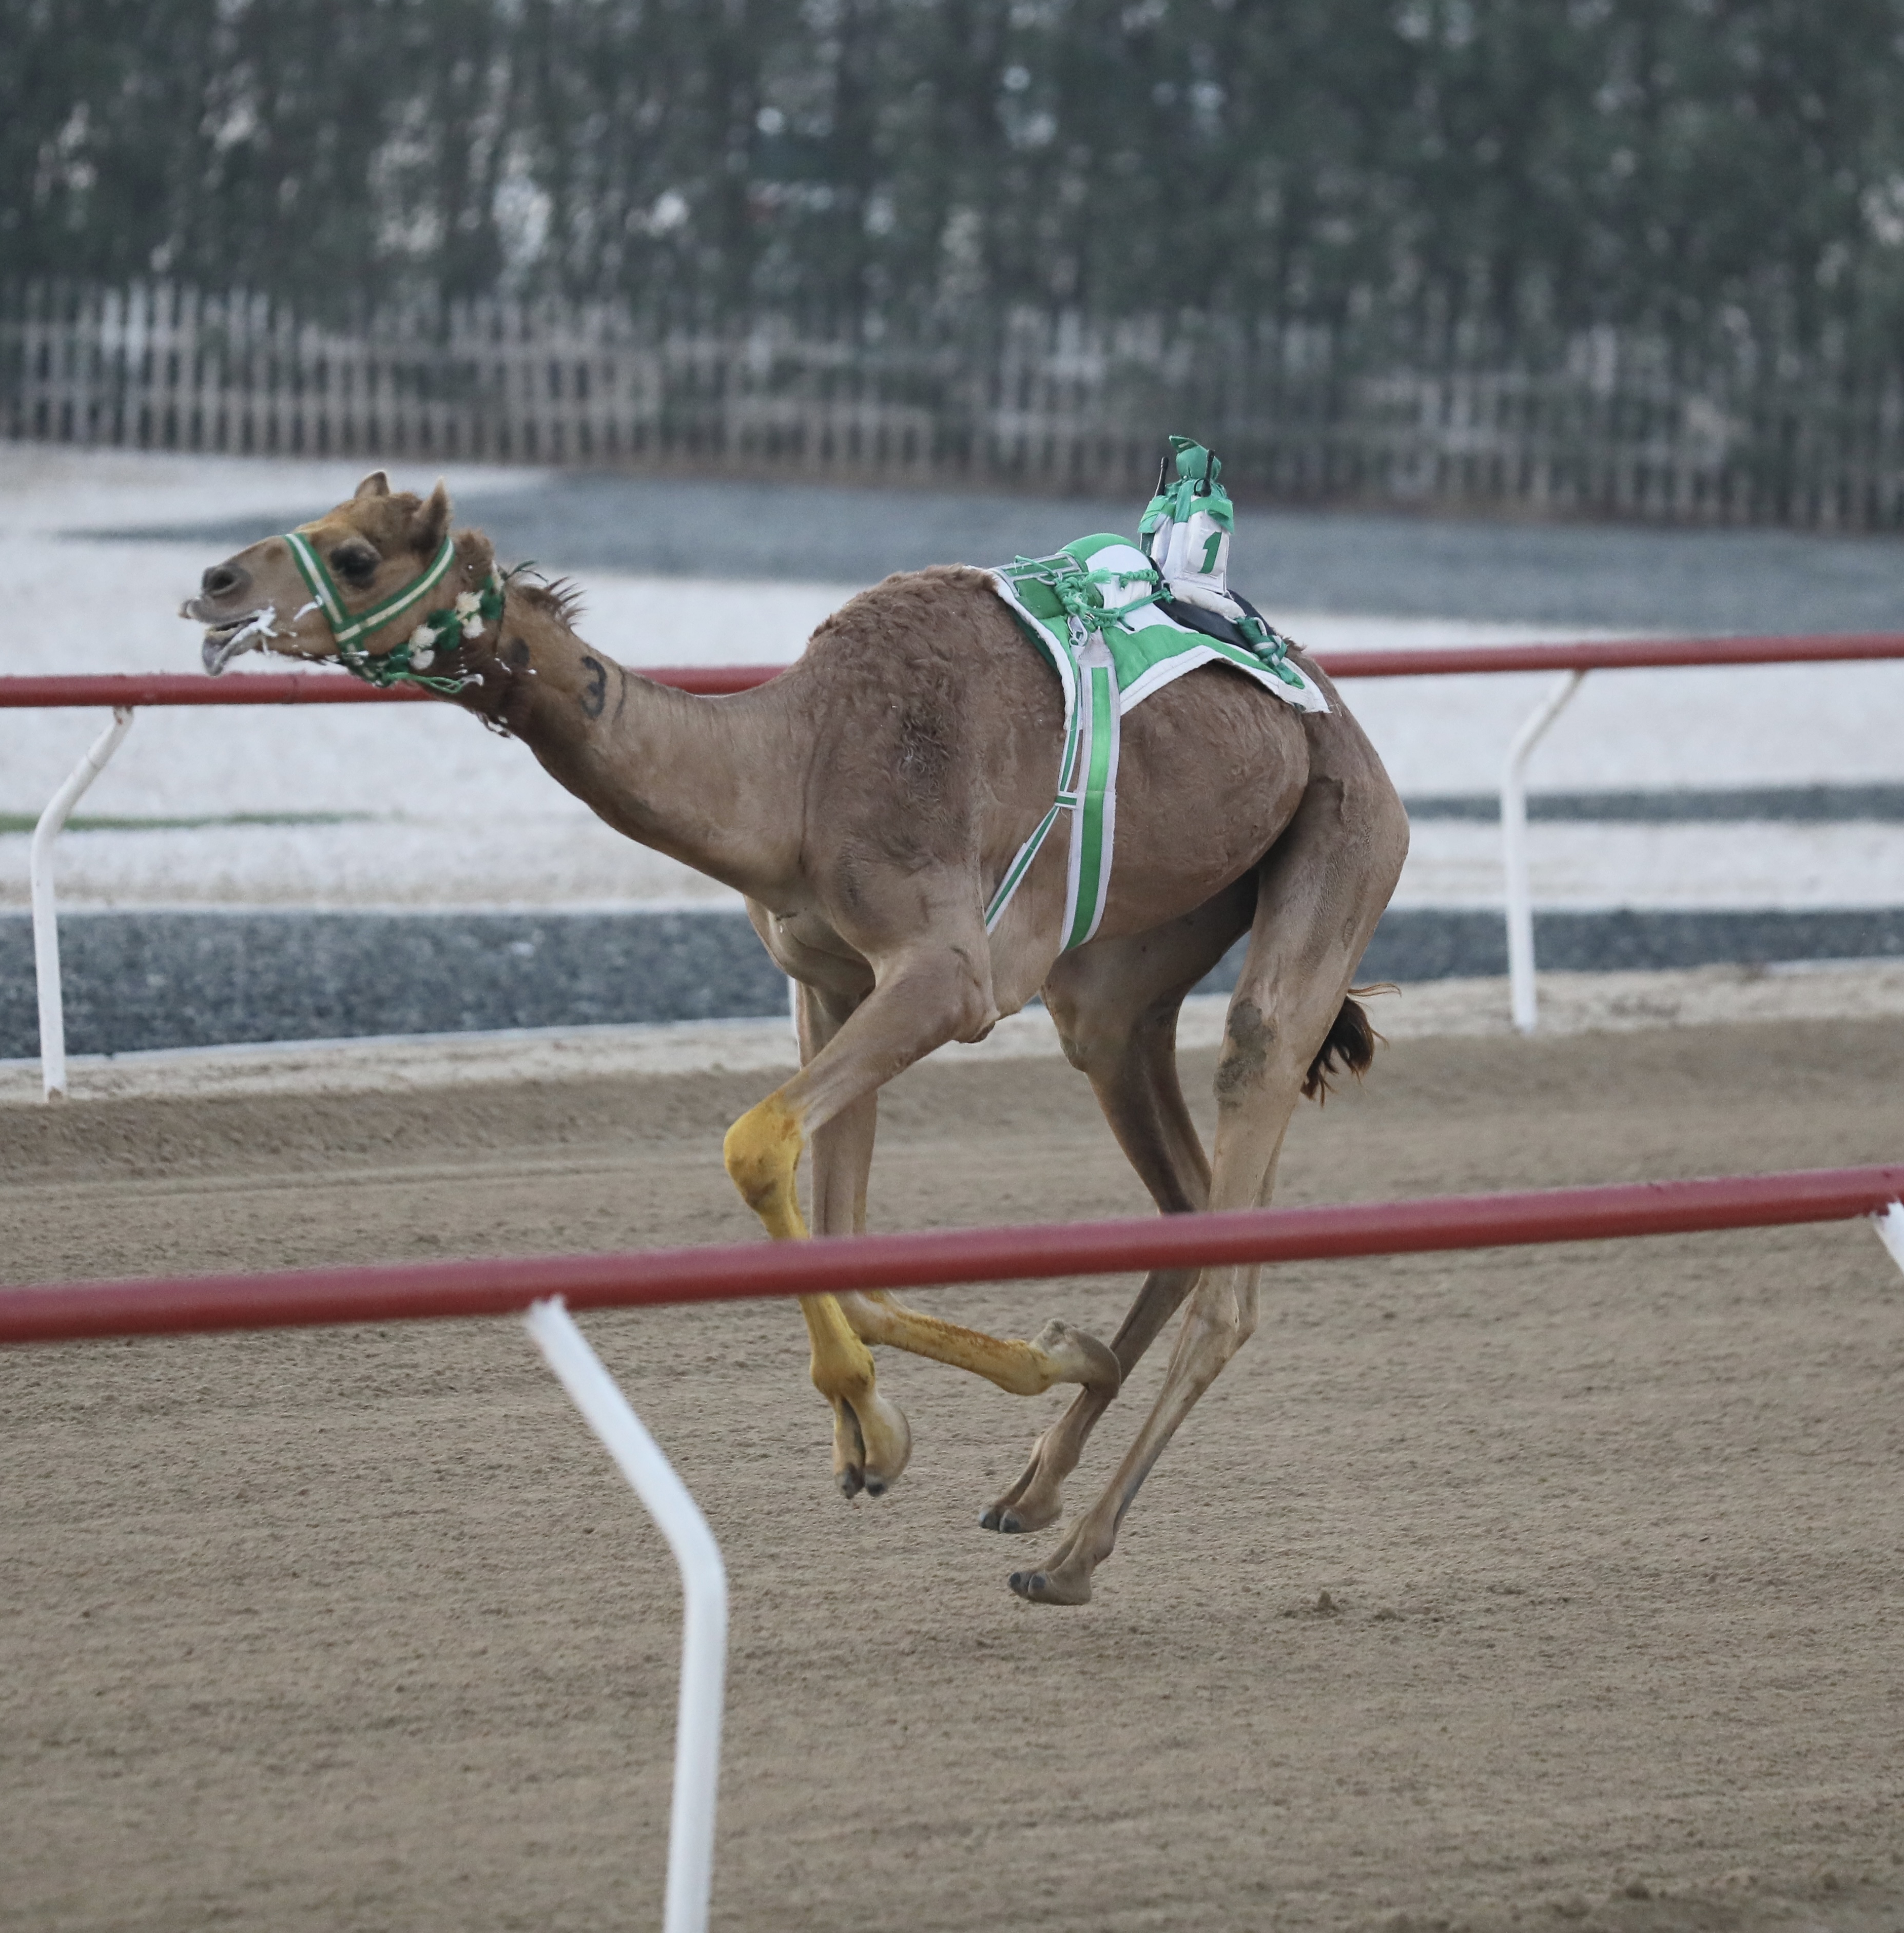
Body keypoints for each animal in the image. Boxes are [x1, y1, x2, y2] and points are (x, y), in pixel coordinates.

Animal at [189, 467, 1415, 1600]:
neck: (793, 769)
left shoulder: (946, 976)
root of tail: (1329, 703)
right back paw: (1033, 1486)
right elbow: (828, 1214)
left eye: (356, 556)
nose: (213, 585)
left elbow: (755, 1142)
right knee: (1179, 1188)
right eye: (310, 519)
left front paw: (929, 1408)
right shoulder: (827, 979)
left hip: (1346, 838)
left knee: (1246, 1143)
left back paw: (1072, 1556)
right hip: (1123, 974)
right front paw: (907, 1421)